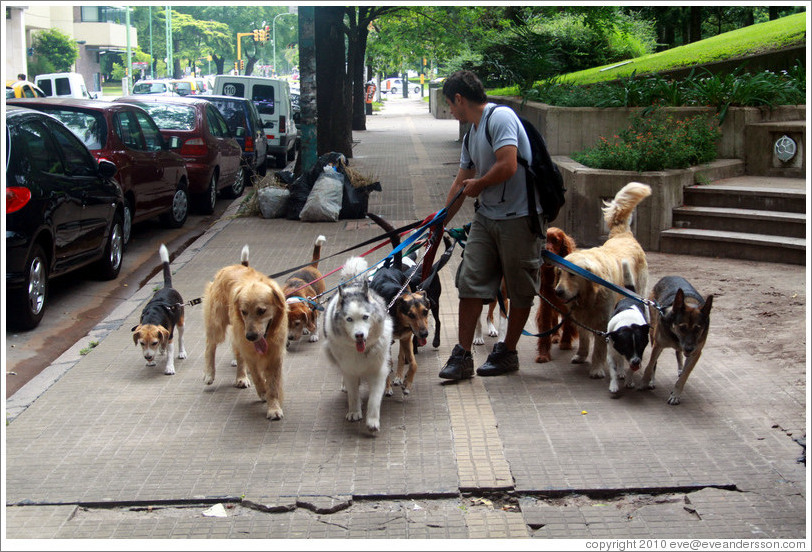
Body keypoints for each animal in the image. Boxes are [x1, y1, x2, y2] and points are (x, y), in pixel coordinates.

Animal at [202, 245, 288, 418]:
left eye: (261, 310)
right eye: (244, 312)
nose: (251, 336)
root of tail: (228, 267)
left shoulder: (275, 354)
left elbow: (274, 385)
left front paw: (274, 407)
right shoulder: (249, 349)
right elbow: (257, 376)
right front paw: (263, 392)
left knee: (237, 354)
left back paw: (241, 377)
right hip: (218, 323)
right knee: (210, 345)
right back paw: (209, 373)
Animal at [540, 227, 576, 362]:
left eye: (555, 240)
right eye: (544, 239)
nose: (546, 250)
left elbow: (567, 323)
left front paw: (565, 342)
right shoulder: (545, 301)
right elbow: (545, 325)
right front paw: (543, 354)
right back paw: (555, 336)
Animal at [552, 182, 652, 380]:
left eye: (572, 274)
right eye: (560, 273)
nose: (558, 292)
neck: (589, 296)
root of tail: (623, 235)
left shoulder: (603, 320)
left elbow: (598, 347)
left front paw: (597, 368)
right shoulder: (580, 317)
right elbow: (584, 339)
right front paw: (581, 355)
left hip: (639, 290)